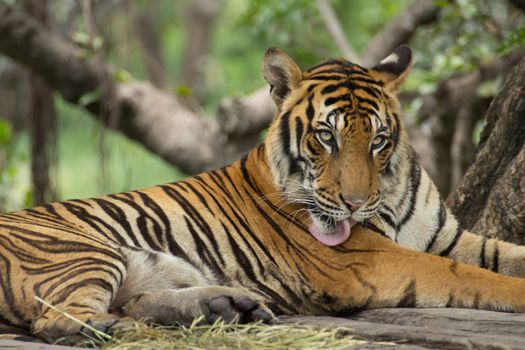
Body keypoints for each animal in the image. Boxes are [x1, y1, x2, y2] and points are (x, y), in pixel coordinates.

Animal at [1, 44, 524, 344]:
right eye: (326, 137)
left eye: (378, 139)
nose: (355, 204)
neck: (390, 193)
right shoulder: (363, 259)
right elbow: (465, 276)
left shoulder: (450, 237)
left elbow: (501, 255)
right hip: (84, 251)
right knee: (58, 320)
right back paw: (121, 329)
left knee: (132, 300)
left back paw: (226, 307)